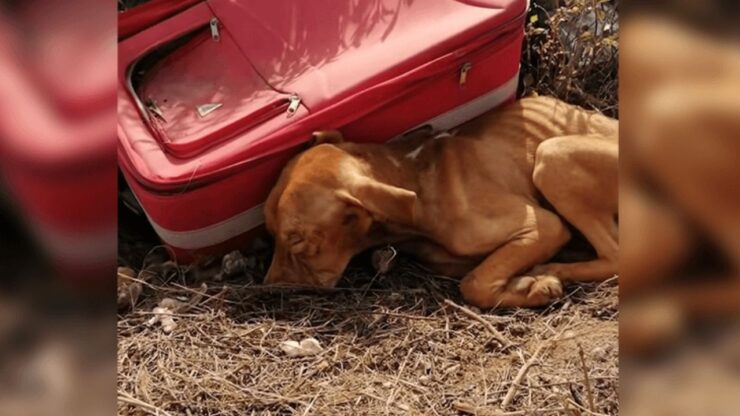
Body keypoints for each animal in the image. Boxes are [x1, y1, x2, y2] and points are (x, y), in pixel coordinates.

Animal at [264, 96, 616, 308]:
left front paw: (535, 285)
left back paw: (555, 268)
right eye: (270, 232)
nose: (267, 289)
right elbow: (477, 274)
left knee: (613, 255)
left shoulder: (544, 225)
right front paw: (527, 285)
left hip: (551, 155)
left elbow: (474, 284)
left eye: (297, 241)